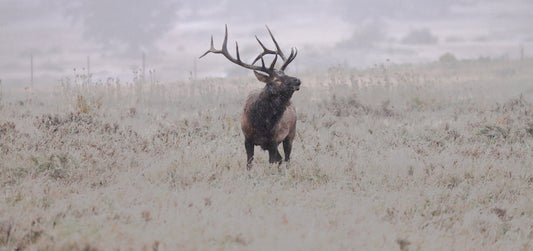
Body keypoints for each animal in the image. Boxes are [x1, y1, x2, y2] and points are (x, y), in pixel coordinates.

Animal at [200, 25, 300, 169]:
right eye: (276, 80)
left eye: (285, 74)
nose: (298, 81)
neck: (261, 123)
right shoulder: (247, 139)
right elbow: (249, 164)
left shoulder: (273, 140)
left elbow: (271, 163)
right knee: (282, 159)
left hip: (291, 133)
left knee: (286, 159)